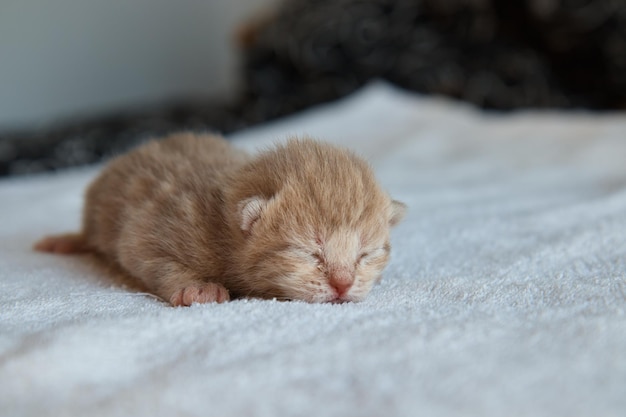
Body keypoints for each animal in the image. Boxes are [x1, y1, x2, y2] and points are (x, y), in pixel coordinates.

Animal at [34, 133, 404, 306]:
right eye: (309, 253)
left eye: (366, 255)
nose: (343, 285)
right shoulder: (149, 231)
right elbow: (154, 259)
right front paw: (197, 287)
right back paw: (65, 241)